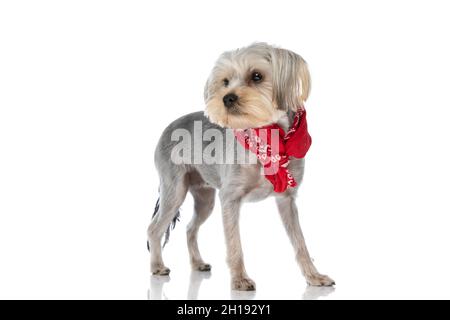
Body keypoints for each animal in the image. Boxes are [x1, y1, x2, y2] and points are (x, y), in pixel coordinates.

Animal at [148, 42, 334, 290]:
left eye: (257, 76)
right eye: (225, 81)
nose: (227, 98)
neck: (267, 135)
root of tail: (168, 127)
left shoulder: (286, 199)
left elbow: (299, 242)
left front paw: (314, 276)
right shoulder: (230, 198)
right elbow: (234, 243)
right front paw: (239, 279)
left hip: (205, 198)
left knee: (190, 228)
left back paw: (197, 263)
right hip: (174, 190)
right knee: (154, 229)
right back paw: (157, 267)